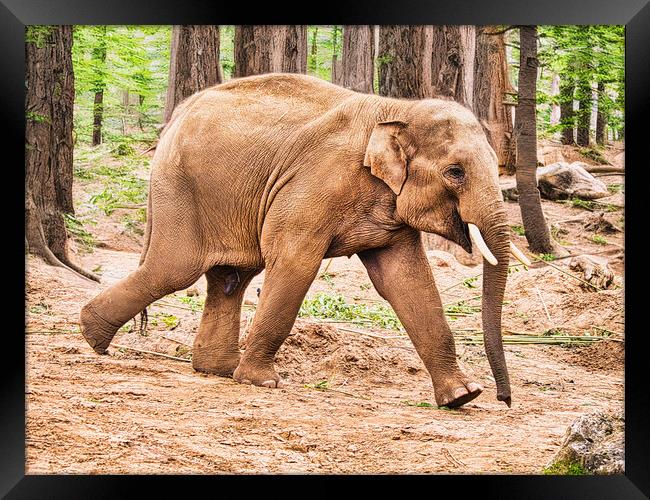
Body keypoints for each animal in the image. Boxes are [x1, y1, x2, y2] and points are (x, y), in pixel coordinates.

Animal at [79, 74, 528, 410]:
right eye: (455, 172)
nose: (504, 399)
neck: (398, 108)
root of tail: (175, 116)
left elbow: (407, 280)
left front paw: (462, 397)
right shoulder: (313, 186)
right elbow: (295, 263)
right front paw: (262, 382)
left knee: (230, 276)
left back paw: (215, 369)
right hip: (180, 188)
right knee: (174, 269)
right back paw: (92, 336)